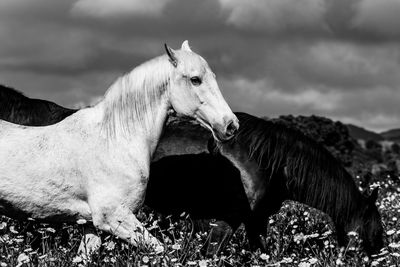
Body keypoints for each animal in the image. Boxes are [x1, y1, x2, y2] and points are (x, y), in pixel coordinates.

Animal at [0, 40, 238, 250]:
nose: (231, 125)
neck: (114, 141)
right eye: (195, 79)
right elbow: (159, 250)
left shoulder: (92, 226)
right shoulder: (113, 217)